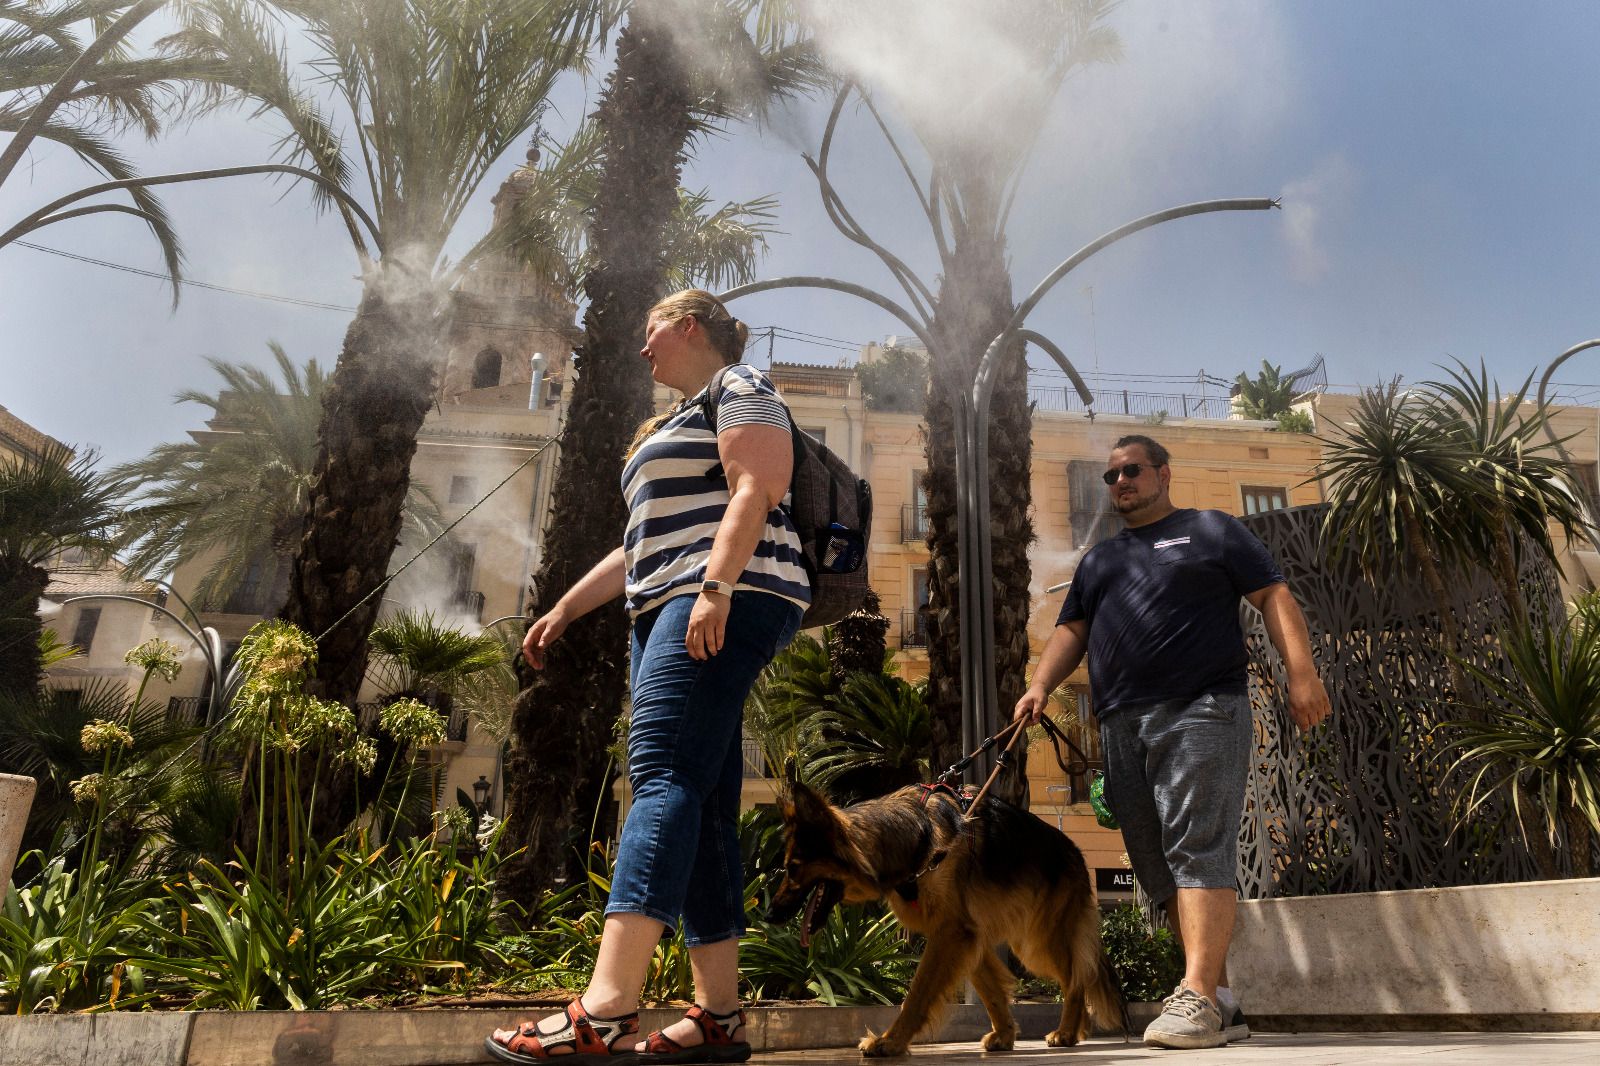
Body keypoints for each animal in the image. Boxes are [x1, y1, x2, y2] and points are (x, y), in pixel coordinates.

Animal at [768, 781, 1120, 1056]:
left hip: (1038, 944)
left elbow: (918, 992)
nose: (771, 914)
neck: (913, 839)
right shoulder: (967, 936)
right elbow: (991, 991)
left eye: (793, 868)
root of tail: (1075, 851)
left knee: (1077, 978)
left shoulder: (951, 932)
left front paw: (891, 1041)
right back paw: (1077, 1030)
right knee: (1080, 973)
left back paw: (1068, 1031)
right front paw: (1005, 1034)